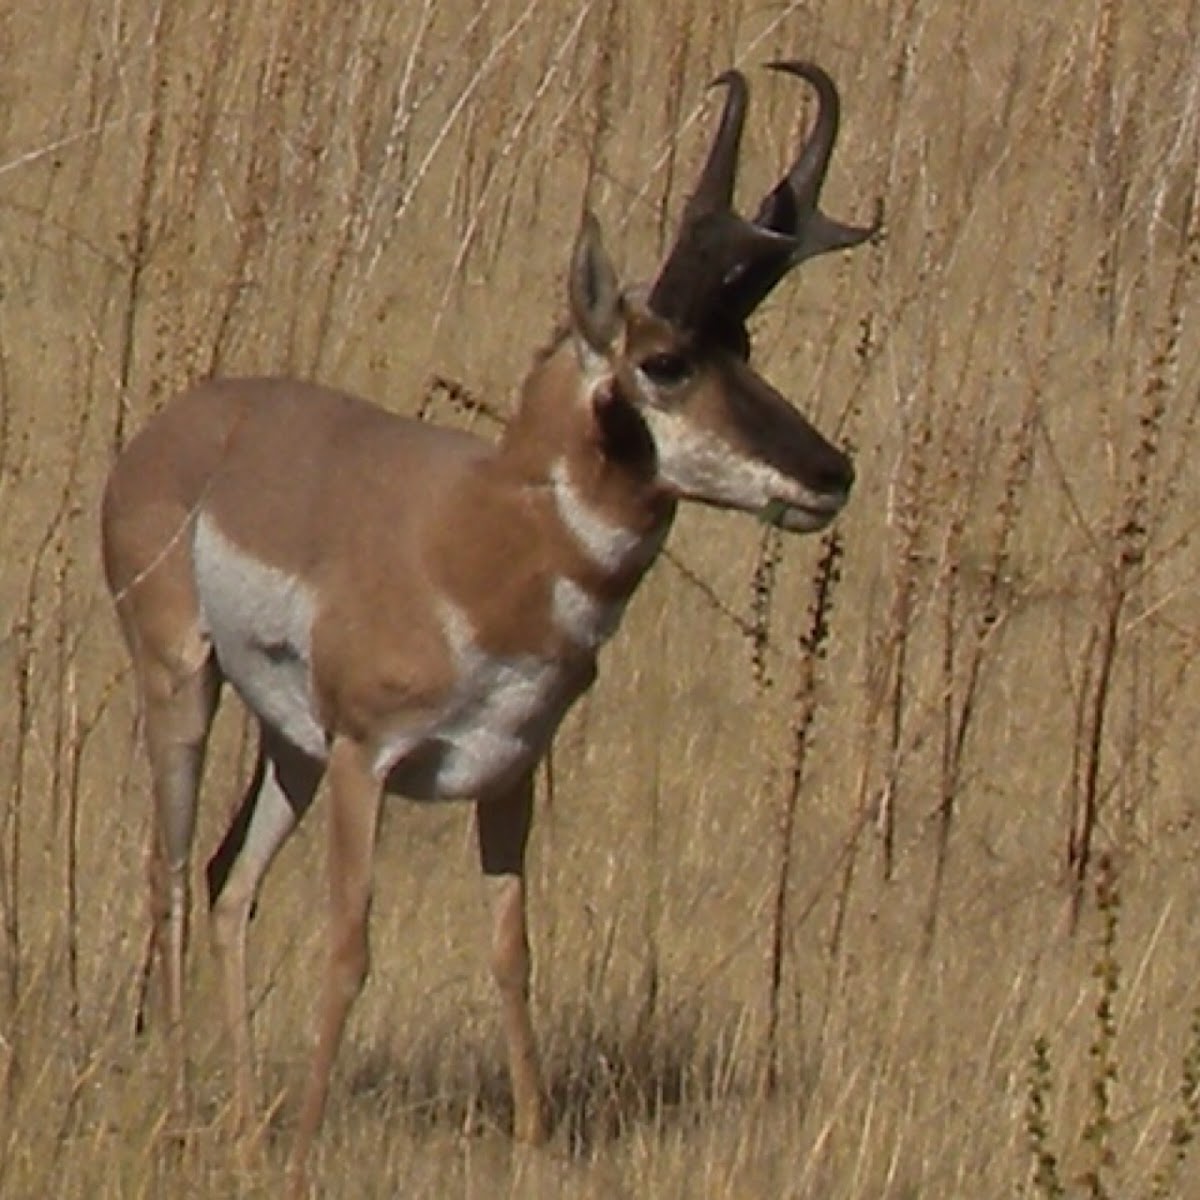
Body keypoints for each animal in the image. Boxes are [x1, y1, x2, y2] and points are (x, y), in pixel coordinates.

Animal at [100, 60, 873, 1176]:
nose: (831, 472)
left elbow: (513, 952)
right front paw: (310, 1143)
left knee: (228, 883)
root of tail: (177, 424)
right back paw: (188, 1107)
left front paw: (536, 1136)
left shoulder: (506, 774)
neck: (479, 534)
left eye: (745, 342)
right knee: (168, 872)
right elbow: (349, 945)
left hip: (290, 747)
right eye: (665, 361)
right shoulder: (366, 760)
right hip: (187, 687)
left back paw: (243, 1120)